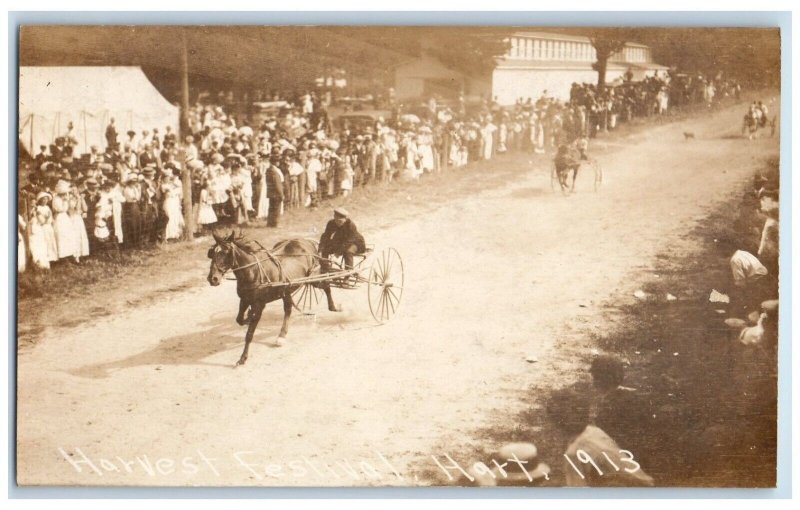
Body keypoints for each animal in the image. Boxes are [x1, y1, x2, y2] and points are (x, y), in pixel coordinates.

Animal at [205, 229, 340, 364]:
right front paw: (248, 317)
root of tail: (306, 241)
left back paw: (333, 306)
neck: (253, 271)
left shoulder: (259, 305)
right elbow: (239, 319)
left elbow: (249, 334)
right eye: (212, 253)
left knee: (326, 286)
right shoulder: (244, 299)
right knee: (288, 309)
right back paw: (282, 335)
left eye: (225, 252)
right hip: (287, 287)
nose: (213, 279)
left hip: (313, 278)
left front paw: (243, 357)